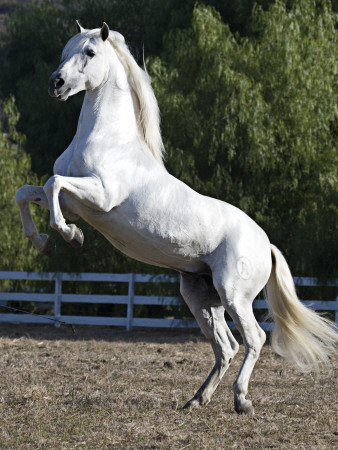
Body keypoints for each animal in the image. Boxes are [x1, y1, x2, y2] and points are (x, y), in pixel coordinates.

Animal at [14, 21, 336, 414]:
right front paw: (45, 243)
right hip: (200, 296)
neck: (107, 139)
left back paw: (242, 400)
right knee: (226, 346)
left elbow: (53, 184)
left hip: (235, 295)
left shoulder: (100, 197)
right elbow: (30, 191)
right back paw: (196, 400)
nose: (56, 84)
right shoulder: (76, 201)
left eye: (89, 52)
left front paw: (69, 235)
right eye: (65, 51)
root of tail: (267, 245)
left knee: (255, 338)